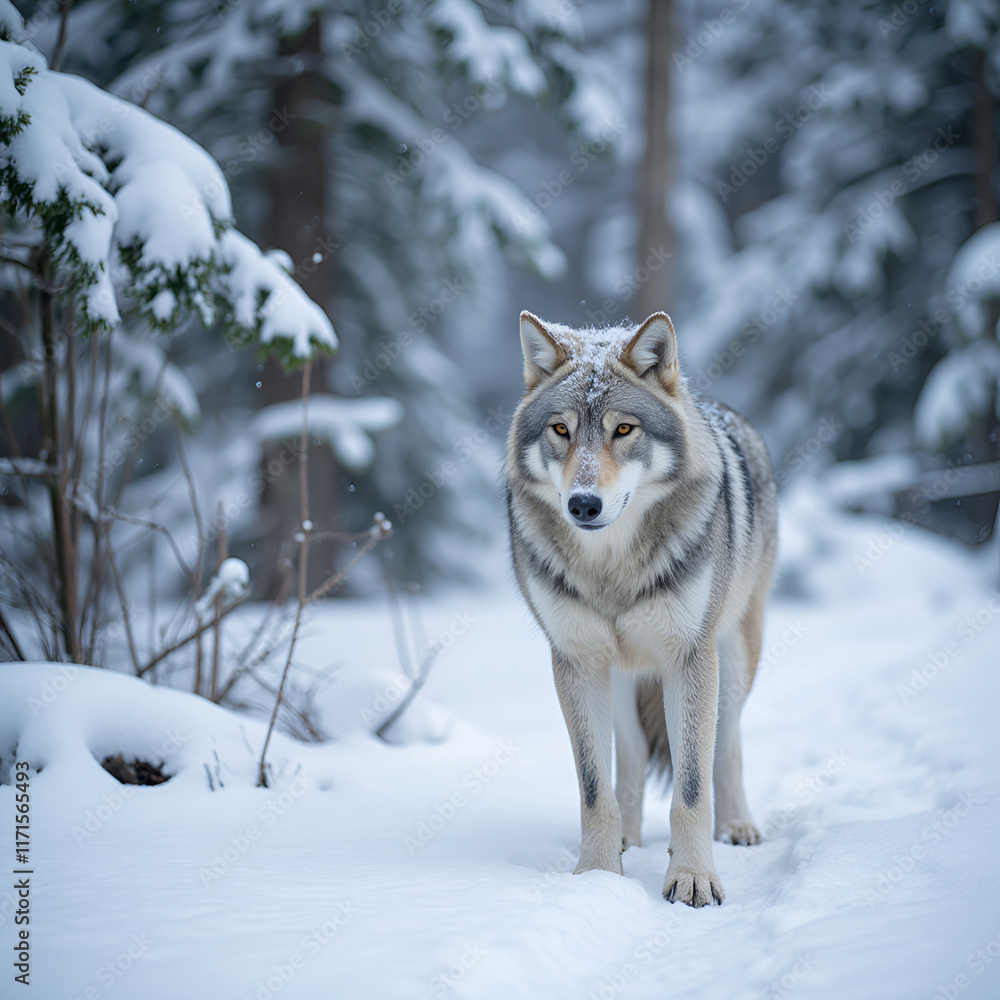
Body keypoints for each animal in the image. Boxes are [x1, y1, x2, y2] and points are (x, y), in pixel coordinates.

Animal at [505, 310, 777, 907]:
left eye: (623, 430)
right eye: (561, 430)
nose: (583, 504)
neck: (614, 571)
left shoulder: (690, 658)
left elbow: (692, 787)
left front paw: (694, 879)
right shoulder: (576, 661)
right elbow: (593, 788)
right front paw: (597, 877)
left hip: (733, 660)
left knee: (728, 748)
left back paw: (738, 828)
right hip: (623, 677)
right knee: (627, 762)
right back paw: (629, 840)